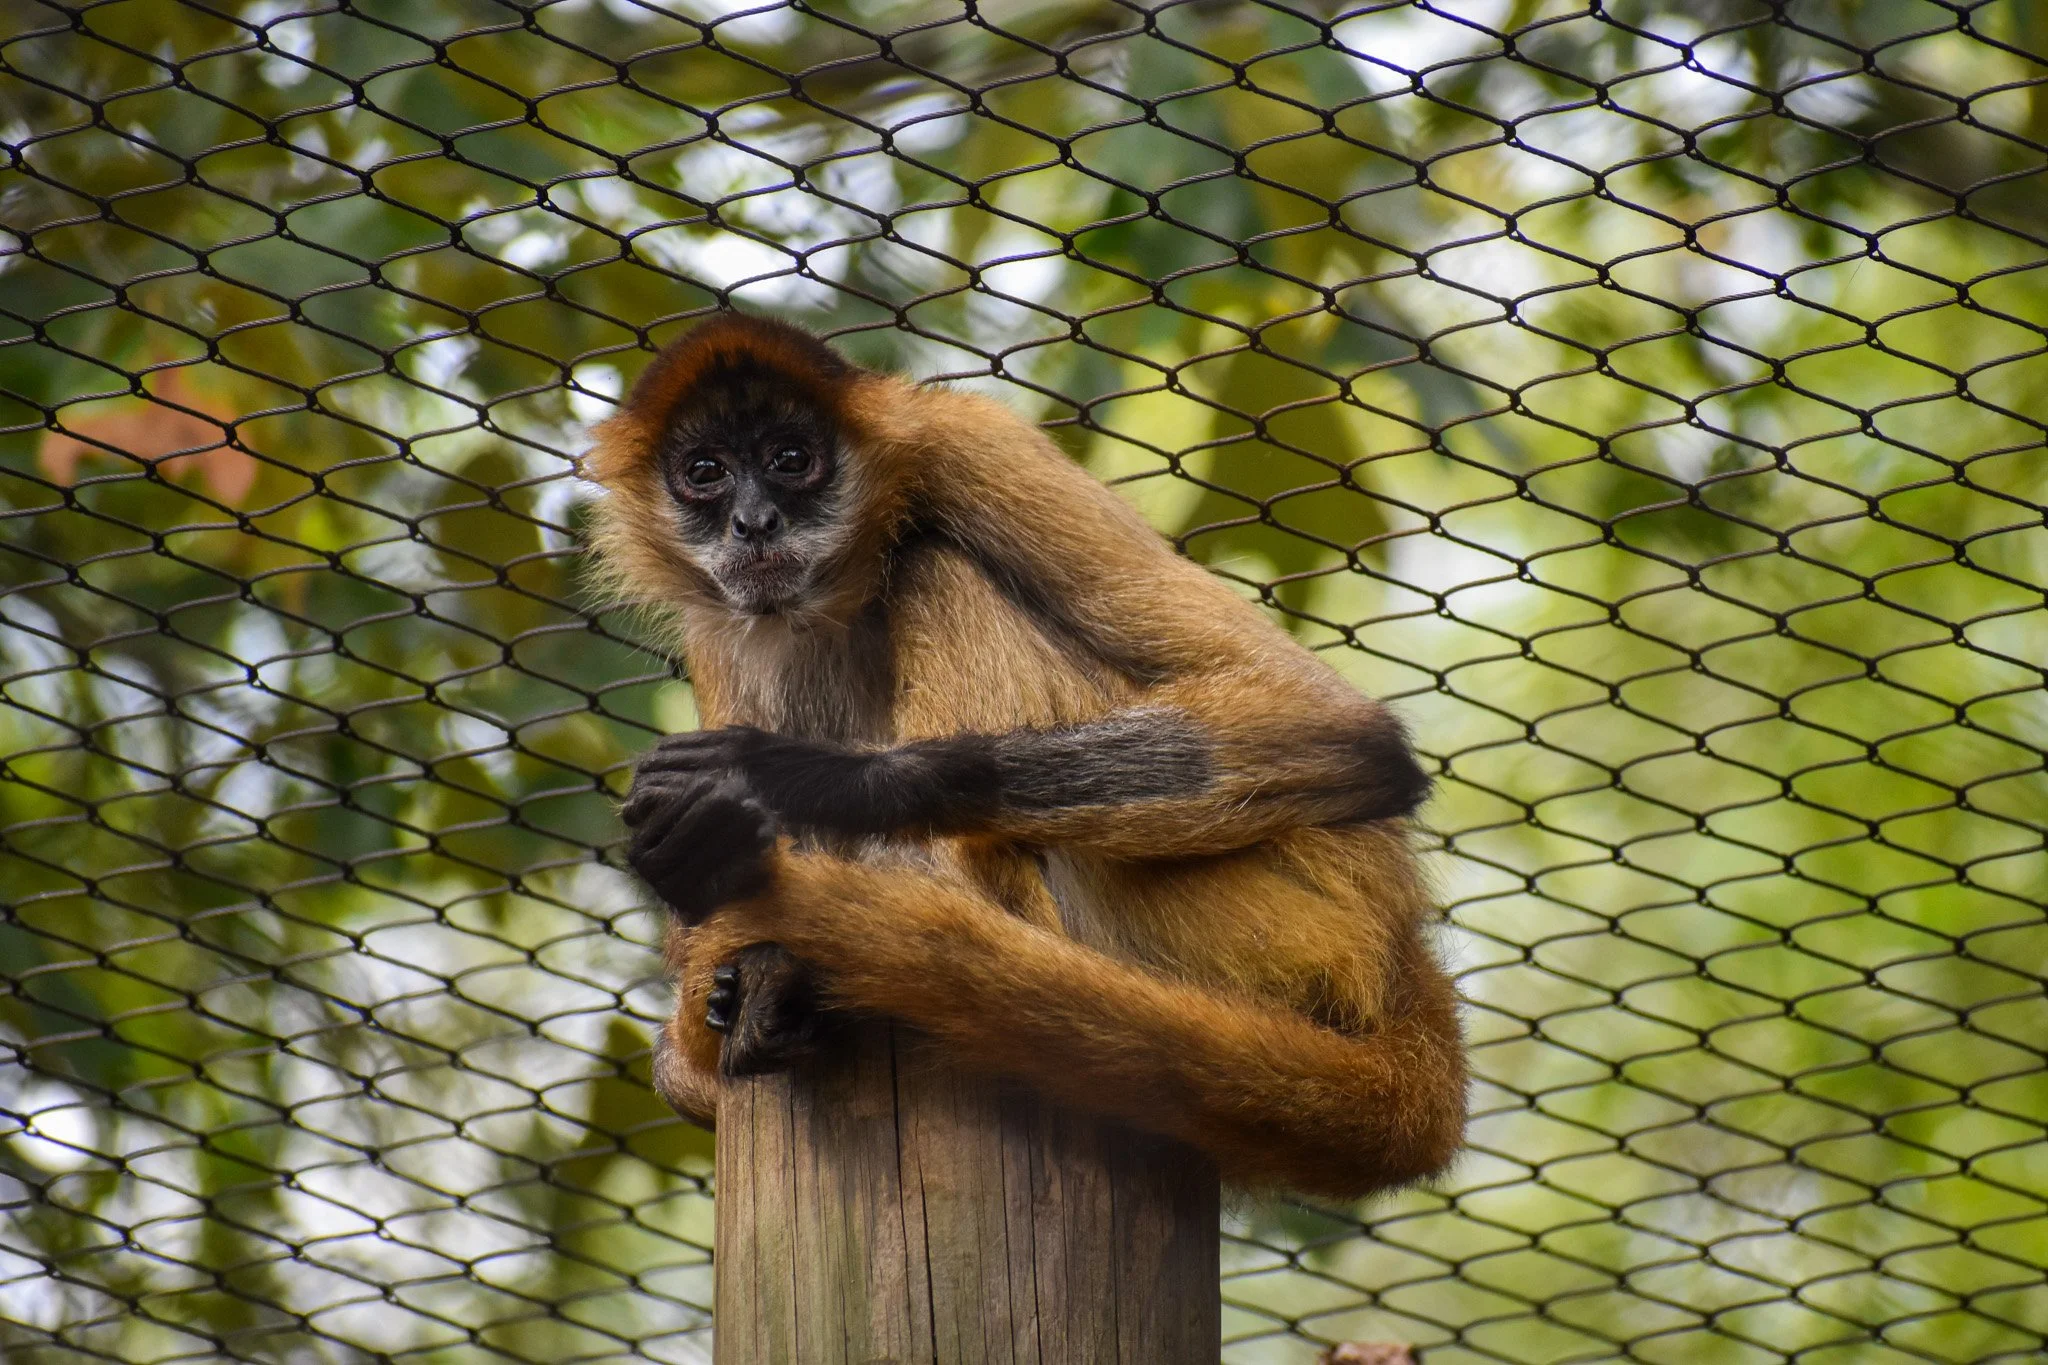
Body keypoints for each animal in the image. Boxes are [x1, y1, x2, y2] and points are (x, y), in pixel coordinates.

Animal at [584, 313, 1466, 1200]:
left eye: (791, 460)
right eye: (705, 473)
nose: (755, 521)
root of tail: (1397, 943)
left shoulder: (970, 441)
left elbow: (1342, 726)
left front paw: (803, 781)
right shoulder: (718, 616)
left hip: (1277, 915)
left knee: (934, 565)